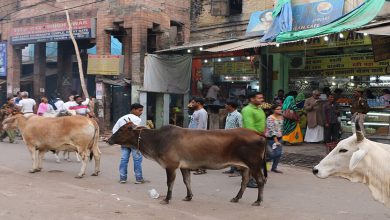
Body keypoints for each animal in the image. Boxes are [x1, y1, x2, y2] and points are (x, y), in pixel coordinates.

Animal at [106, 123, 268, 205]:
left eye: (121, 130)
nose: (108, 140)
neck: (157, 139)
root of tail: (258, 133)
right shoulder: (184, 167)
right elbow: (187, 181)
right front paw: (188, 196)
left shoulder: (171, 166)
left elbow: (170, 183)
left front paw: (167, 199)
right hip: (245, 167)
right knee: (244, 181)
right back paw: (236, 198)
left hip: (254, 164)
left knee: (260, 181)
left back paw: (258, 200)